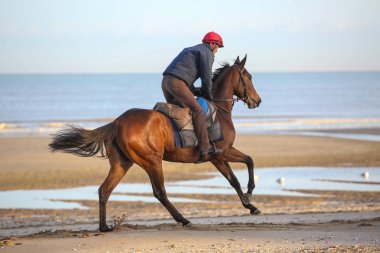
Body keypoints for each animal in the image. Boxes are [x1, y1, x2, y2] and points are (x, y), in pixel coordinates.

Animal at [49, 55, 262, 231]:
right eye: (250, 77)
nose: (257, 100)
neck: (218, 109)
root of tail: (117, 122)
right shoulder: (220, 154)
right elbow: (247, 164)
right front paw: (249, 195)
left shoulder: (219, 156)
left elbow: (236, 177)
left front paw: (250, 205)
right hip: (152, 161)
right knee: (160, 192)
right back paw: (183, 220)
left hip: (122, 163)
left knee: (104, 190)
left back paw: (104, 227)